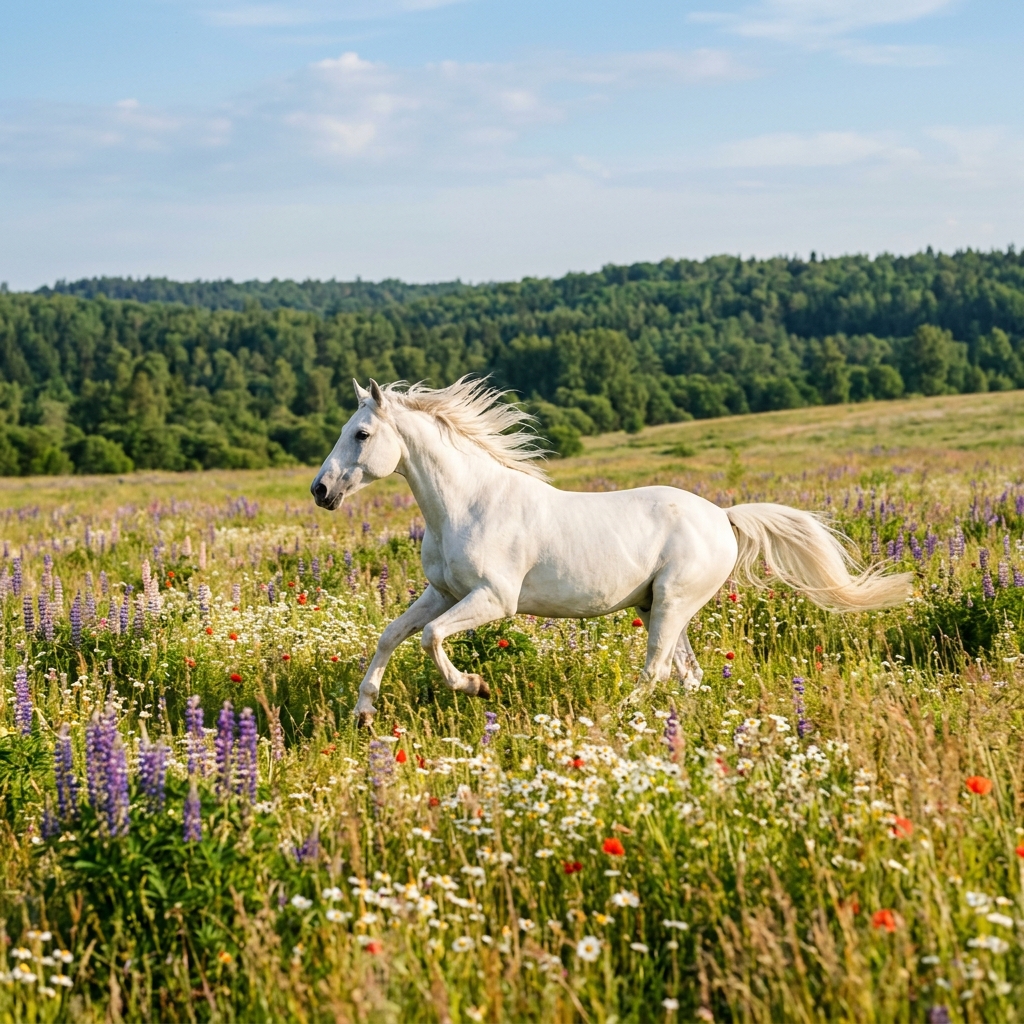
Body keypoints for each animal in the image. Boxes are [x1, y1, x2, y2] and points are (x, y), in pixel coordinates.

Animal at [311, 377, 911, 727]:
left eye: (362, 434)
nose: (320, 491)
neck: (469, 502)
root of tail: (723, 516)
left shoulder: (494, 600)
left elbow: (431, 639)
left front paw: (475, 686)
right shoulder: (441, 592)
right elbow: (392, 634)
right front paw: (363, 712)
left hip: (671, 603)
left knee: (656, 671)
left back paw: (611, 718)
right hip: (661, 606)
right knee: (687, 674)